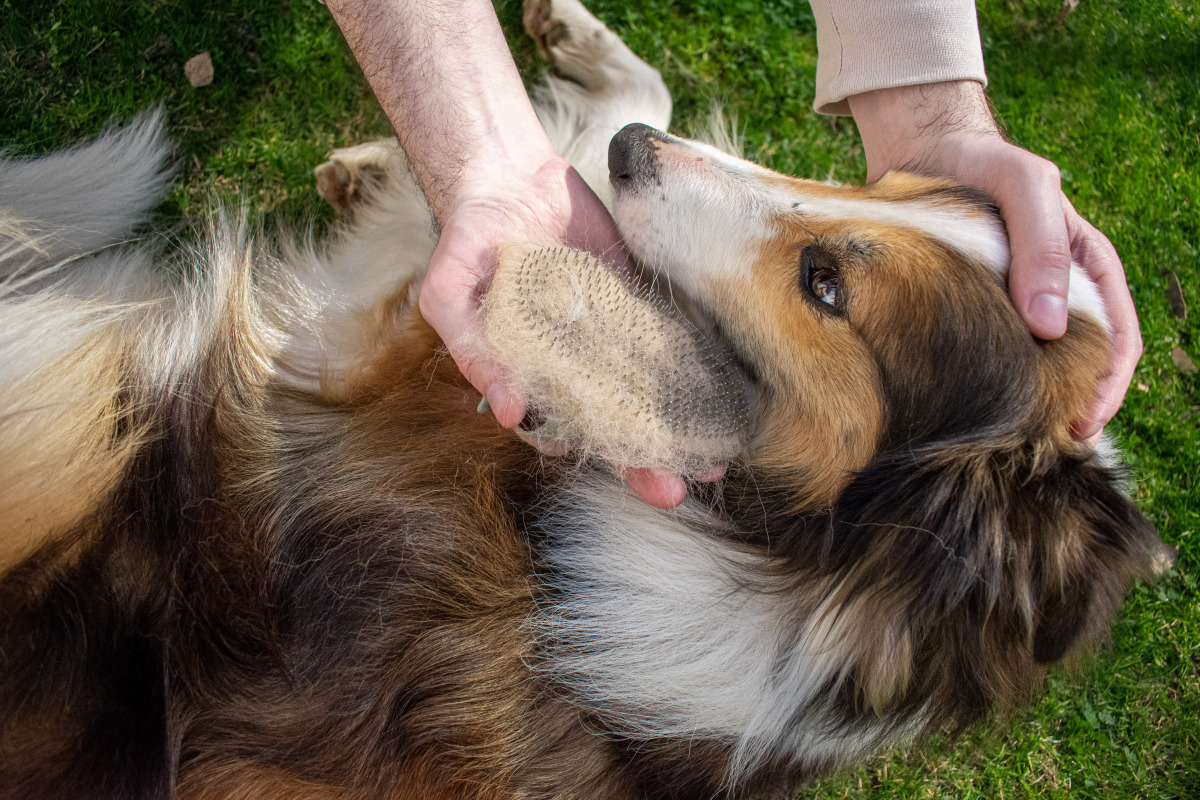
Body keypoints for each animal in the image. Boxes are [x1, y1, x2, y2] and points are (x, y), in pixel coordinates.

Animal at [0, 1, 1166, 800]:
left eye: (826, 284)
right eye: (881, 184)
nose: (631, 159)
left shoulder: (371, 335)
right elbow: (590, 138)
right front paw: (583, 69)